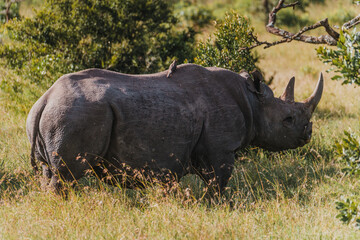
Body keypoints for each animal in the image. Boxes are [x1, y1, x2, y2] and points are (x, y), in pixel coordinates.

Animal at [26, 63, 324, 193]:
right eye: (288, 119)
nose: (308, 134)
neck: (254, 101)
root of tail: (45, 98)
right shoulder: (221, 149)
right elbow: (218, 183)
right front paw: (220, 207)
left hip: (56, 115)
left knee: (50, 171)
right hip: (75, 114)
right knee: (67, 175)